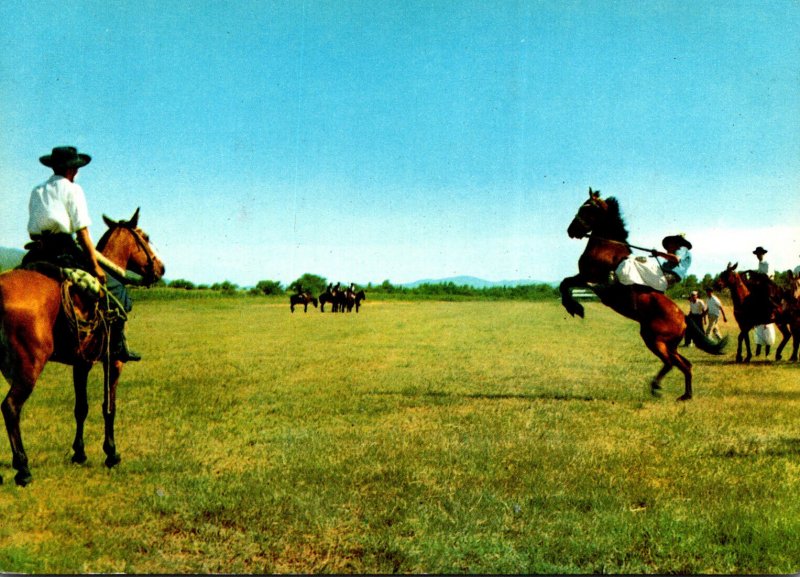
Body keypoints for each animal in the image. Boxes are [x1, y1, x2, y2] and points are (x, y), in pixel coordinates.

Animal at [0, 209, 164, 484]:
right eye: (145, 236)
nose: (161, 268)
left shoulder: (81, 363)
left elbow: (81, 408)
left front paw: (79, 453)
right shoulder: (113, 361)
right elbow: (109, 407)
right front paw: (111, 453)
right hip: (29, 367)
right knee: (10, 407)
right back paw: (23, 468)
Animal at [560, 189, 728, 400]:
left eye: (587, 208)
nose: (571, 230)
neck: (607, 248)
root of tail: (683, 317)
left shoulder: (587, 277)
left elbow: (565, 284)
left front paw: (575, 308)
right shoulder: (583, 277)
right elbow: (565, 283)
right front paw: (574, 307)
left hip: (654, 340)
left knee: (671, 363)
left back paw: (656, 386)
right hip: (666, 344)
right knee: (685, 365)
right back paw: (685, 395)